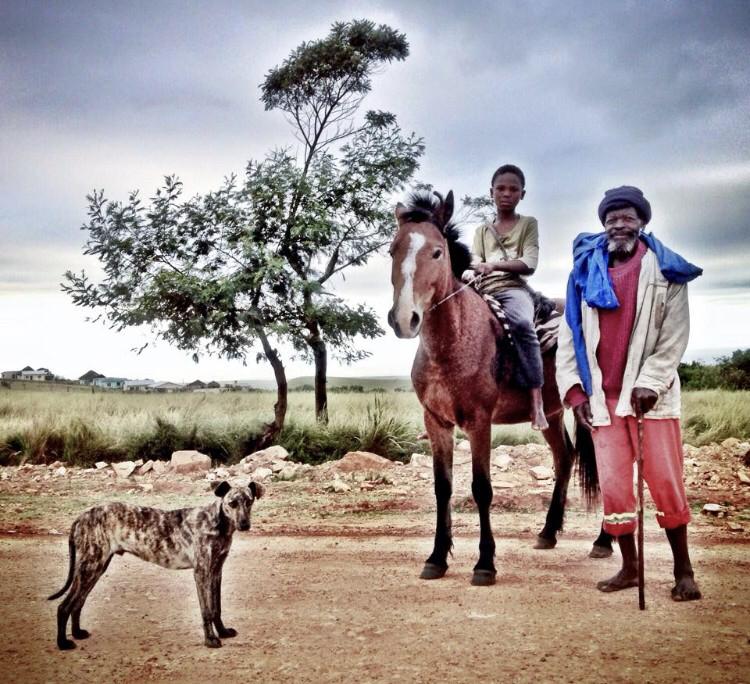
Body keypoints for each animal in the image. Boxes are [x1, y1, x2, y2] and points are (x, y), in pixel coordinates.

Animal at [47, 478, 264, 648]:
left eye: (249, 501)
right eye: (232, 503)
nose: (245, 524)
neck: (216, 522)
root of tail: (80, 517)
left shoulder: (217, 571)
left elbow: (217, 607)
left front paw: (223, 632)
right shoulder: (202, 572)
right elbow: (207, 610)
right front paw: (210, 640)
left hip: (95, 568)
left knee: (78, 602)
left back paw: (77, 633)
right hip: (91, 567)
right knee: (64, 606)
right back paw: (63, 643)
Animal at [388, 190, 612, 584]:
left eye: (437, 252)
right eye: (391, 251)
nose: (404, 319)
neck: (454, 339)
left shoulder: (480, 422)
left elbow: (481, 488)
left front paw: (485, 563)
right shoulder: (437, 422)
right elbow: (442, 487)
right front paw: (437, 557)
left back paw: (603, 541)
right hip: (551, 413)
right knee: (565, 457)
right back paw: (547, 533)